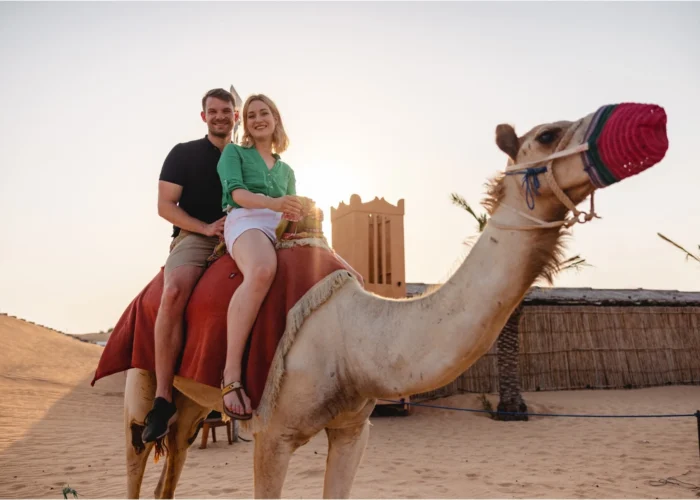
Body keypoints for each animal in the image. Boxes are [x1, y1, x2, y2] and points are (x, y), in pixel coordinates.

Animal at [123, 101, 668, 496]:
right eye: (549, 135)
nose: (652, 120)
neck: (356, 338)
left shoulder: (352, 430)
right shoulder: (271, 434)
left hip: (196, 401)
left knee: (176, 455)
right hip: (146, 366)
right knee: (139, 452)